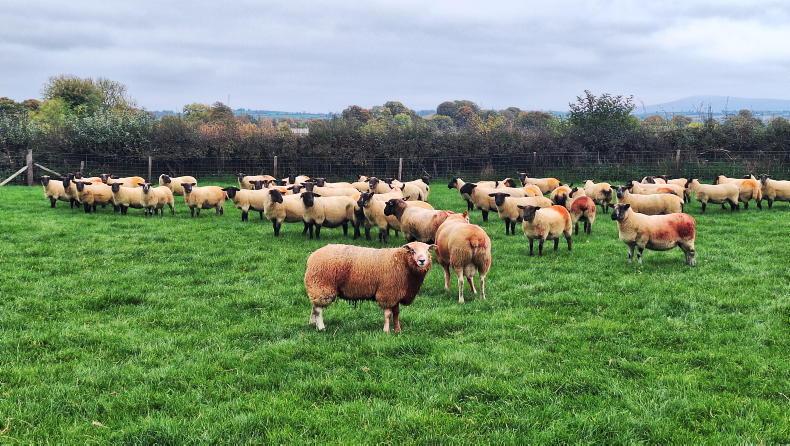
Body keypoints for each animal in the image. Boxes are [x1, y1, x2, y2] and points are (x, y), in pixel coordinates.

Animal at [305, 242, 434, 333]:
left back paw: (312, 323)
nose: (422, 261)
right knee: (318, 309)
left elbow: (396, 313)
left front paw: (398, 330)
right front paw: (386, 331)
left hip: (317, 287)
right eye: (412, 250)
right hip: (322, 286)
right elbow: (388, 314)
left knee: (314, 306)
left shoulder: (396, 293)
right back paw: (321, 327)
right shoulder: (387, 293)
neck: (403, 263)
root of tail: (312, 256)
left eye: (427, 250)